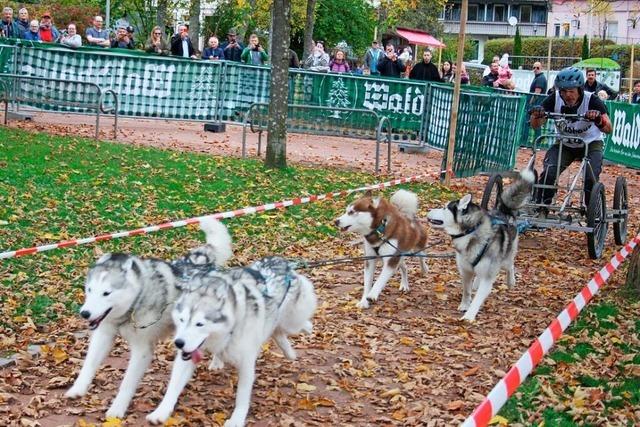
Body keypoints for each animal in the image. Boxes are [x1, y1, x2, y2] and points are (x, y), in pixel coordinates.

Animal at [62, 219, 231, 420]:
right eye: (89, 290)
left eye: (106, 293)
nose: (85, 313)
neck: (137, 299)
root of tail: (205, 263)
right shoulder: (104, 334)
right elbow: (88, 365)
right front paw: (78, 388)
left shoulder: (142, 349)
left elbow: (127, 384)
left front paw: (117, 410)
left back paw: (217, 362)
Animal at [144, 258, 316, 427]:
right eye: (181, 320)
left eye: (199, 324)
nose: (178, 343)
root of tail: (281, 261)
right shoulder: (188, 356)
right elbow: (173, 387)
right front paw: (161, 412)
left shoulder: (246, 363)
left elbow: (242, 397)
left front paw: (237, 420)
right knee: (277, 331)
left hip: (291, 321)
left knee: (294, 324)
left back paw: (305, 333)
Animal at [428, 170, 536, 320]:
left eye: (444, 208)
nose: (429, 210)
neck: (470, 231)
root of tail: (503, 211)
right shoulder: (465, 271)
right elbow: (466, 290)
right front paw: (465, 304)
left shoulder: (487, 277)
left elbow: (478, 299)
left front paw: (469, 316)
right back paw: (476, 283)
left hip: (505, 258)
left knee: (510, 265)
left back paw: (511, 281)